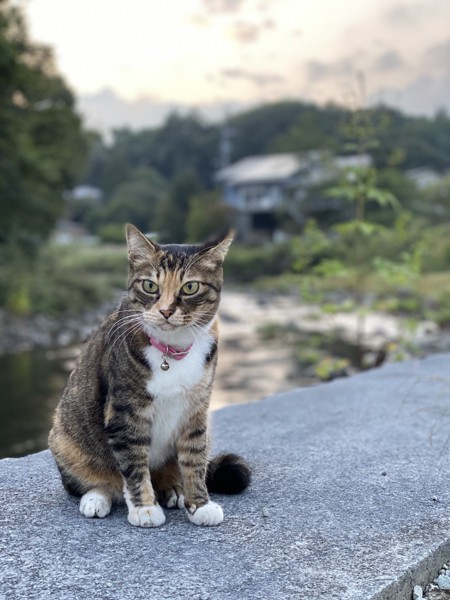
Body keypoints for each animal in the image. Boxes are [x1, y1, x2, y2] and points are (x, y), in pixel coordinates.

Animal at [51, 224, 253, 524]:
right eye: (150, 285)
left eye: (190, 287)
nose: (166, 310)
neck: (172, 350)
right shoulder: (126, 412)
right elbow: (134, 463)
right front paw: (144, 508)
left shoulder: (197, 410)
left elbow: (194, 458)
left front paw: (199, 504)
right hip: (64, 437)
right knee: (98, 480)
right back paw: (97, 497)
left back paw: (173, 489)